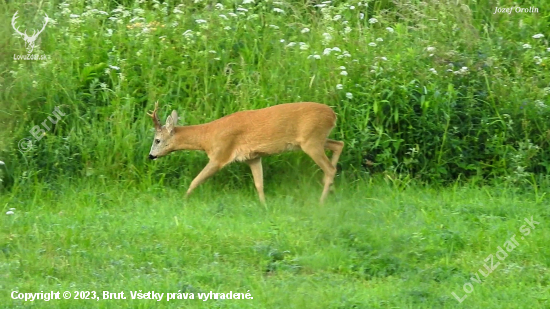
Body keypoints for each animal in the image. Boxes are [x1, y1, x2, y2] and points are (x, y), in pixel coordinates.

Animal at [147, 100, 344, 202]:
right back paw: (331, 188)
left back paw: (321, 202)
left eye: (157, 140)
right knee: (338, 144)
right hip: (316, 139)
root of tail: (333, 115)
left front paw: (184, 200)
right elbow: (259, 184)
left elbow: (195, 180)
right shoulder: (253, 157)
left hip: (311, 140)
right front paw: (264, 206)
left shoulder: (220, 155)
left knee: (330, 168)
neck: (207, 138)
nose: (150, 156)